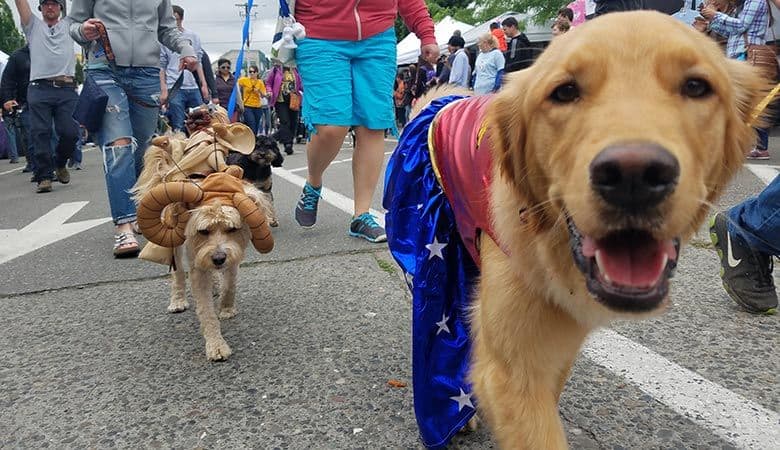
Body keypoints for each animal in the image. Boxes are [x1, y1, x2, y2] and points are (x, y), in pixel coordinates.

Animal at [394, 10, 772, 450]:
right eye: (565, 92)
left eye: (696, 86)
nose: (633, 176)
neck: (551, 243)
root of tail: (440, 98)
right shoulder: (513, 366)